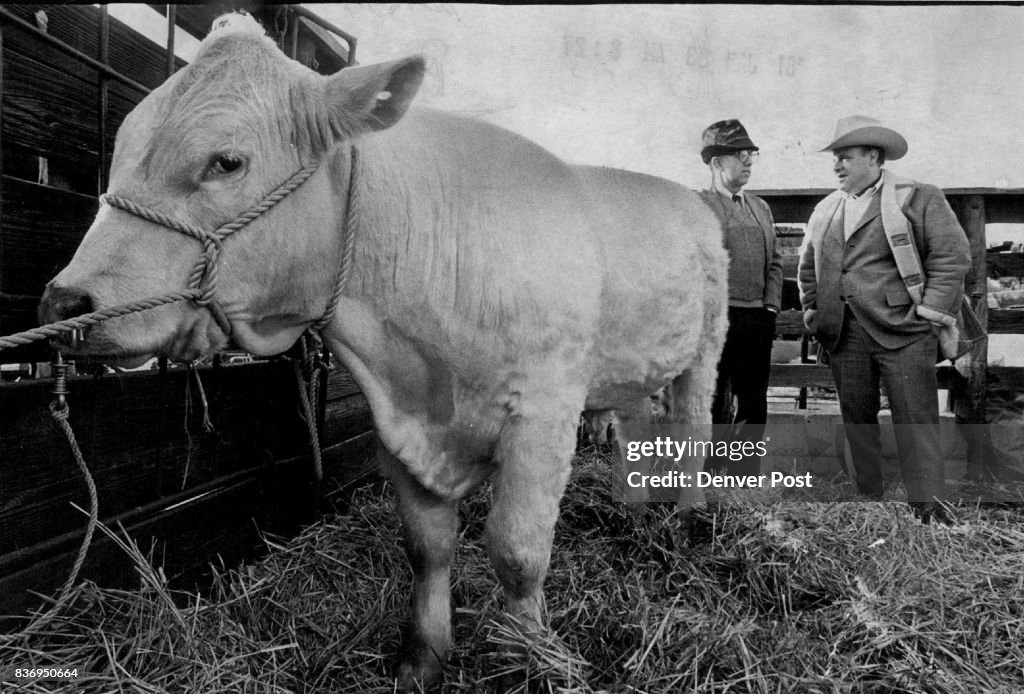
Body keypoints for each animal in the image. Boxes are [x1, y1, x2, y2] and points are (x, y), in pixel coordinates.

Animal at [37, 13, 729, 691]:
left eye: (226, 161)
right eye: (123, 149)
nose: (64, 301)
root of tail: (688, 199)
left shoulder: (543, 414)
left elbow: (517, 550)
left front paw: (533, 659)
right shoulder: (395, 423)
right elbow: (427, 547)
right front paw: (423, 658)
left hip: (708, 346)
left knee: (694, 423)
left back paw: (688, 516)